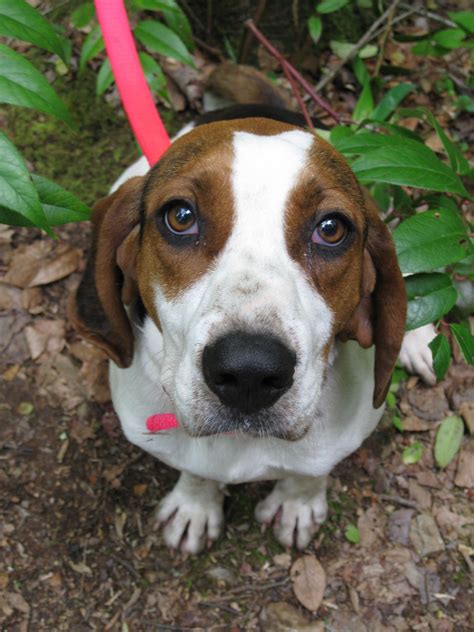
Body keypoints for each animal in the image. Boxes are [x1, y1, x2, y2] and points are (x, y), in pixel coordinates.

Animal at [68, 78, 436, 552]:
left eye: (331, 229)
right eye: (180, 216)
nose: (249, 371)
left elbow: (311, 472)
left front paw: (299, 503)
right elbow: (195, 470)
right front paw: (195, 504)